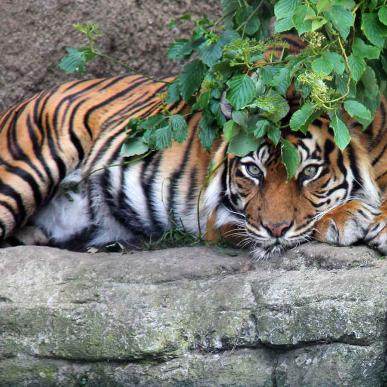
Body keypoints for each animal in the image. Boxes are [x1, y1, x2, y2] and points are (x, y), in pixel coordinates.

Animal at [0, 33, 386, 258]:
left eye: (309, 173)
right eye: (252, 170)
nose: (274, 230)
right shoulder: (222, 219)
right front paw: (349, 216)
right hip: (28, 165)